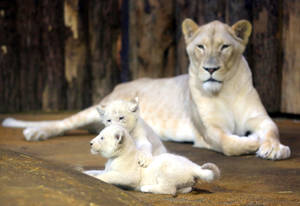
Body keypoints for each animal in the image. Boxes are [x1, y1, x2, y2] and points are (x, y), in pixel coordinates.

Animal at [2, 18, 290, 159]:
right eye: (200, 47)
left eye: (224, 47)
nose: (210, 69)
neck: (225, 90)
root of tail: (120, 84)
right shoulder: (208, 130)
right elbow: (228, 143)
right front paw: (252, 143)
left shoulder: (260, 118)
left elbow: (273, 129)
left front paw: (274, 148)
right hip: (95, 109)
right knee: (63, 122)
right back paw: (35, 131)